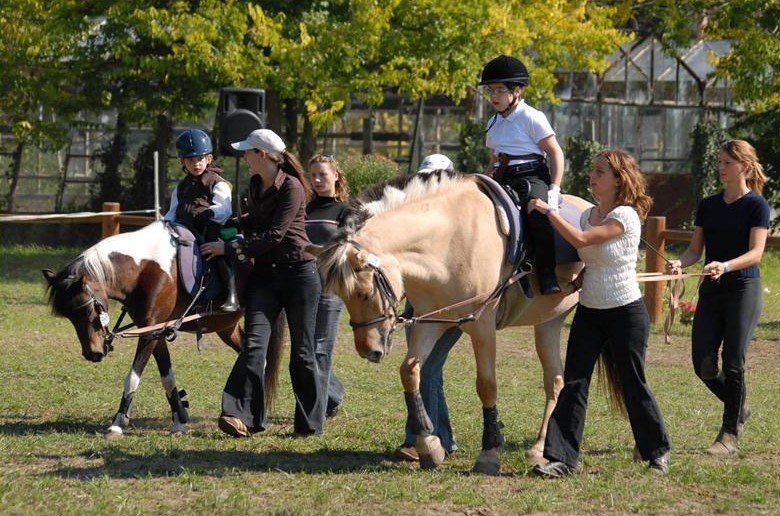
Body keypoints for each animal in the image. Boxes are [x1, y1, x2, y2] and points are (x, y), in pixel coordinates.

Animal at [41, 222, 282, 440]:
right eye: (70, 317)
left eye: (89, 309)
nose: (93, 353)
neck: (144, 268)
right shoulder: (155, 330)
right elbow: (167, 377)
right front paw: (179, 419)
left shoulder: (150, 333)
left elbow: (132, 378)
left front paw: (117, 424)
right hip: (226, 327)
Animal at [310, 173, 592, 476]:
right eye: (344, 296)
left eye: (364, 292)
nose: (368, 351)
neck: (451, 239)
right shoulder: (430, 321)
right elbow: (409, 371)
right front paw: (429, 444)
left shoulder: (482, 326)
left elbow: (486, 385)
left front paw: (489, 452)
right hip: (548, 322)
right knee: (555, 381)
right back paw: (539, 448)